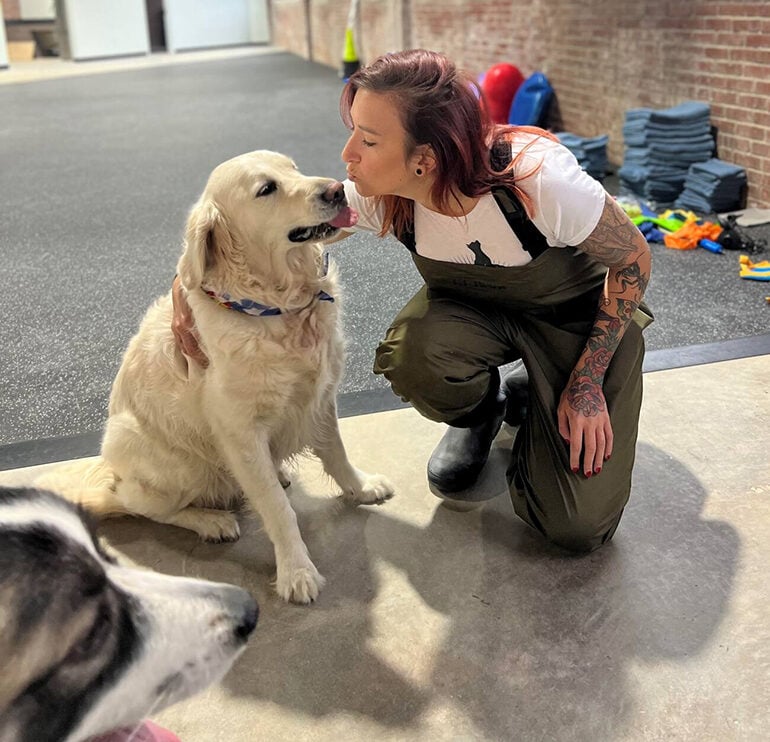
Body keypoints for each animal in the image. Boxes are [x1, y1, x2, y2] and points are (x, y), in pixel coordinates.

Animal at [38, 151, 392, 604]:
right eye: (266, 189)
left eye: (293, 169)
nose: (335, 189)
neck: (280, 306)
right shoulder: (240, 431)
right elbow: (278, 509)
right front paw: (296, 571)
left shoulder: (320, 396)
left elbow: (336, 453)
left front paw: (361, 488)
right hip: (165, 459)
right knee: (142, 504)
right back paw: (210, 520)